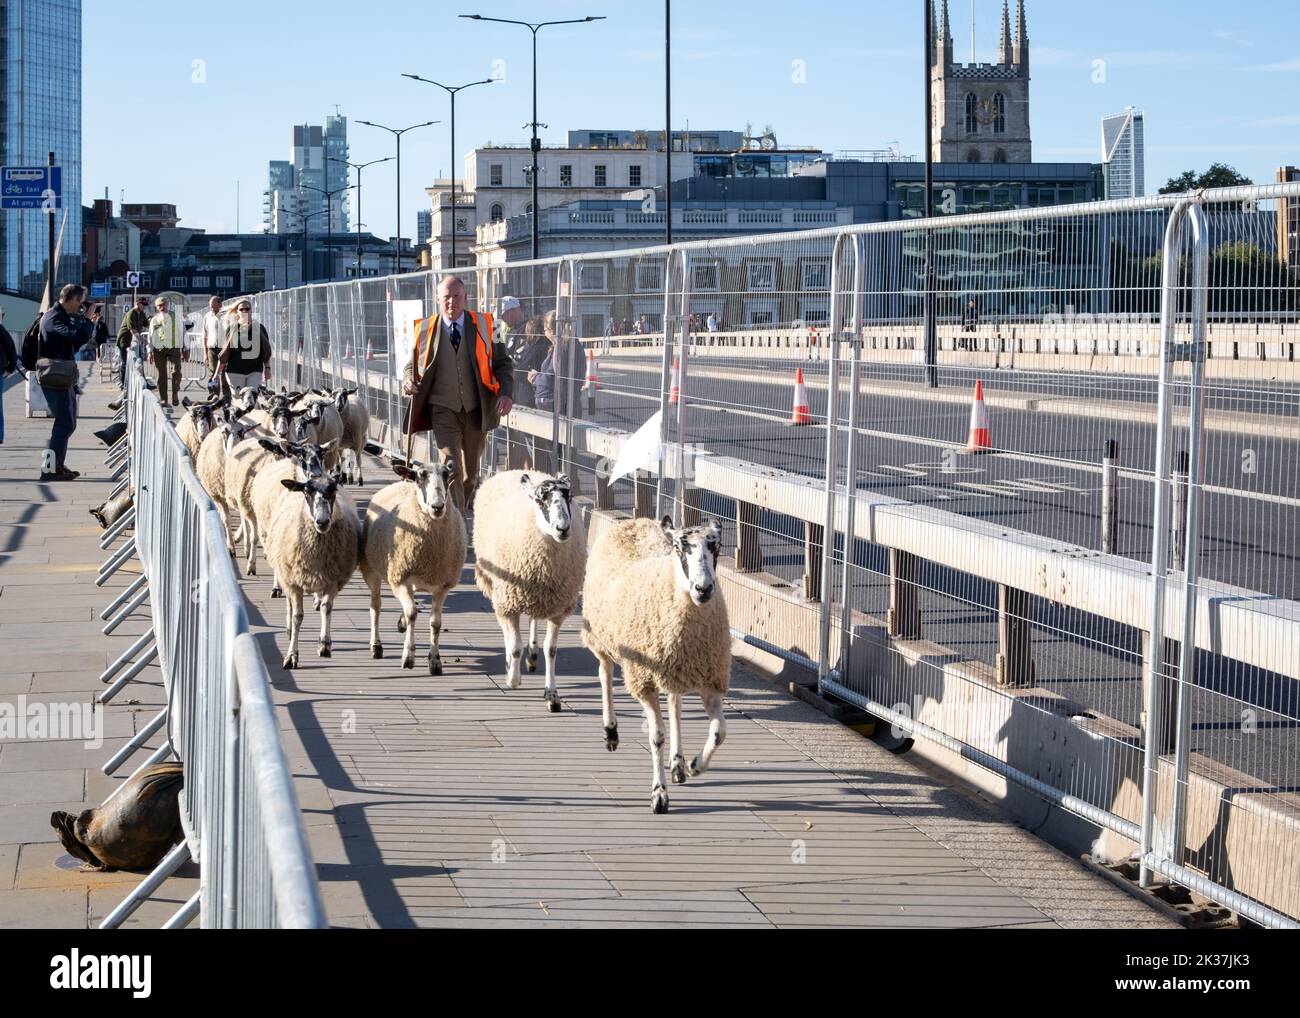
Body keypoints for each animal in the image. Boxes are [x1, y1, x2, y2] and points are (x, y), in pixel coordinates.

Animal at [258, 455, 361, 665]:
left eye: (333, 490)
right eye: (307, 491)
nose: (322, 521)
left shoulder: (332, 579)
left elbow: (326, 608)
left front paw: (324, 644)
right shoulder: (294, 582)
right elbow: (298, 616)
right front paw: (291, 655)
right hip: (286, 574)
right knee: (290, 604)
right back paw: (289, 628)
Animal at [361, 457, 467, 670]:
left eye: (446, 475)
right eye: (420, 477)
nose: (437, 507)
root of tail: (403, 481)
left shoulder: (442, 586)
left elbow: (435, 622)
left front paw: (435, 661)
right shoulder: (400, 579)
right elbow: (412, 614)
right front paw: (408, 656)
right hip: (373, 570)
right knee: (376, 606)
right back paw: (376, 646)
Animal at [470, 468, 587, 707]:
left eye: (569, 497)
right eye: (540, 501)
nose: (563, 529)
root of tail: (517, 471)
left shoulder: (558, 607)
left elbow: (551, 650)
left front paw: (552, 694)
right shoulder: (508, 601)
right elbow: (515, 646)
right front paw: (512, 679)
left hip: (537, 596)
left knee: (533, 618)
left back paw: (532, 654)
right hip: (497, 589)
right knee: (506, 630)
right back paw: (511, 660)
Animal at [582, 514, 733, 816]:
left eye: (717, 546)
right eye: (679, 548)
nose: (704, 589)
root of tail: (633, 521)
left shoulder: (710, 678)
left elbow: (719, 732)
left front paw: (695, 765)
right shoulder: (644, 681)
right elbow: (656, 736)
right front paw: (659, 795)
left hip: (674, 669)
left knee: (675, 706)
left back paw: (678, 764)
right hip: (600, 636)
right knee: (604, 674)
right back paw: (611, 732)